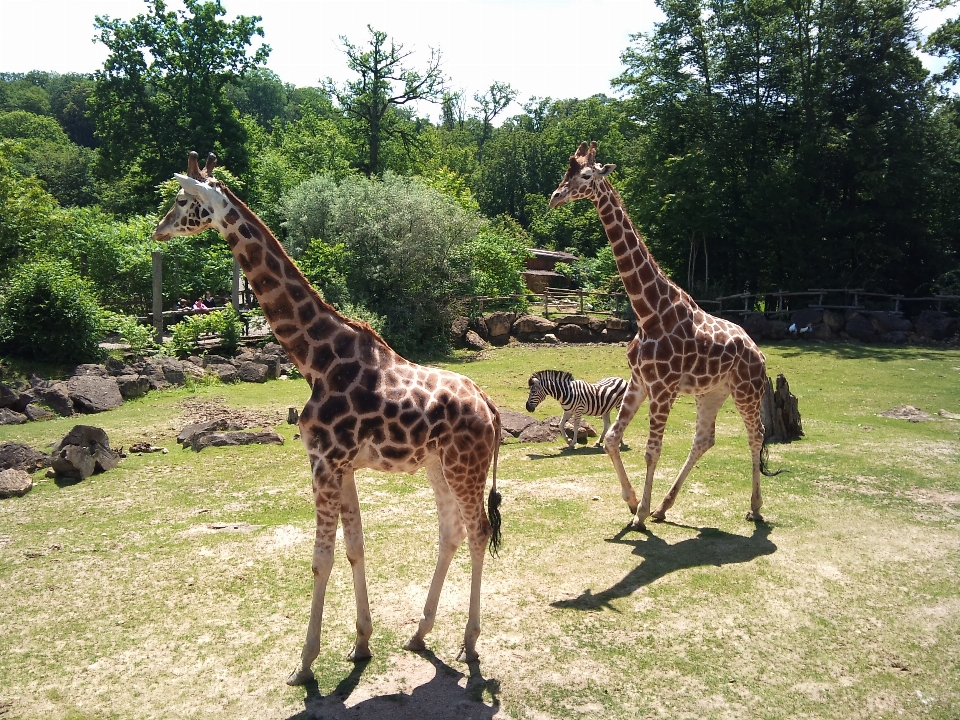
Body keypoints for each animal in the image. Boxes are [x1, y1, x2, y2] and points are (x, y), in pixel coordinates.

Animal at [152, 152, 502, 688]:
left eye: (181, 199)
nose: (158, 230)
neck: (315, 359)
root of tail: (489, 405)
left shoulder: (322, 461)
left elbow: (321, 558)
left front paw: (305, 663)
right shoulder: (344, 465)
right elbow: (355, 547)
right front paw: (361, 644)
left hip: (466, 465)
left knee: (479, 531)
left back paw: (469, 641)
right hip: (437, 465)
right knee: (452, 531)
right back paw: (419, 633)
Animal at [548, 143, 772, 532]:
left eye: (586, 175)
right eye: (566, 172)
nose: (555, 197)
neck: (649, 312)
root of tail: (759, 353)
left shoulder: (663, 388)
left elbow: (652, 450)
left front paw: (639, 514)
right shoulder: (640, 381)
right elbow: (611, 439)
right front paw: (633, 502)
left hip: (747, 391)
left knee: (755, 435)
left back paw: (755, 508)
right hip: (711, 393)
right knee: (704, 439)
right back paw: (665, 507)